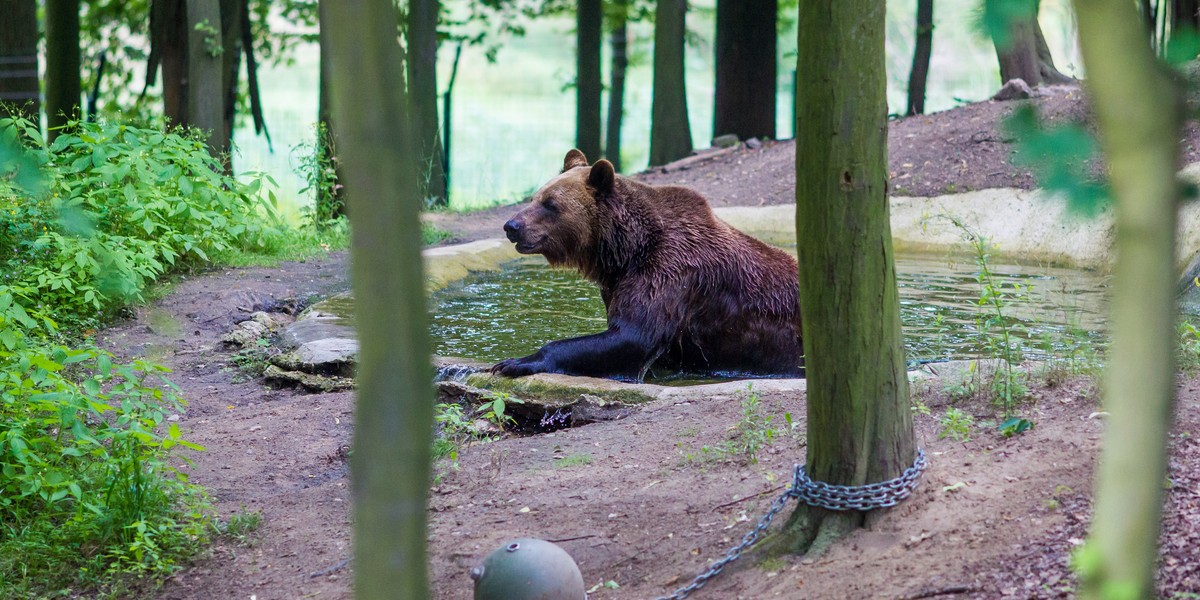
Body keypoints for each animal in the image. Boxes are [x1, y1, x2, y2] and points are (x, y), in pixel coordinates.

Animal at [492, 149, 801, 379]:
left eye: (550, 204)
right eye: (534, 197)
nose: (512, 226)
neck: (626, 251)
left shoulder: (669, 272)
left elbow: (634, 335)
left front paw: (514, 362)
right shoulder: (619, 282)